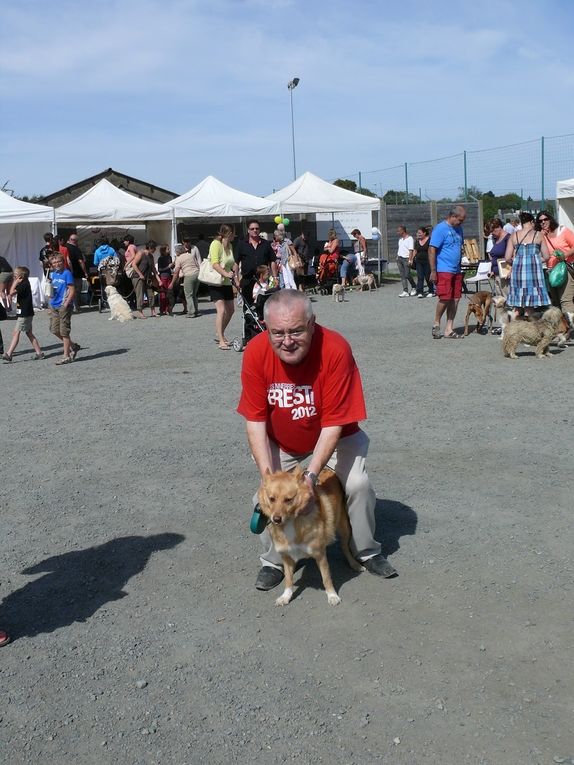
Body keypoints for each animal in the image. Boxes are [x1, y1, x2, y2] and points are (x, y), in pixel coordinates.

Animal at [260, 462, 364, 604]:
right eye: (271, 499)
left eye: (288, 500)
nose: (276, 519)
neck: (291, 522)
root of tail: (329, 469)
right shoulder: (286, 556)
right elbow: (288, 580)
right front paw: (286, 596)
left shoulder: (320, 554)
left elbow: (326, 577)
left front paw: (332, 595)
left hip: (344, 527)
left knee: (345, 547)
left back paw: (354, 564)